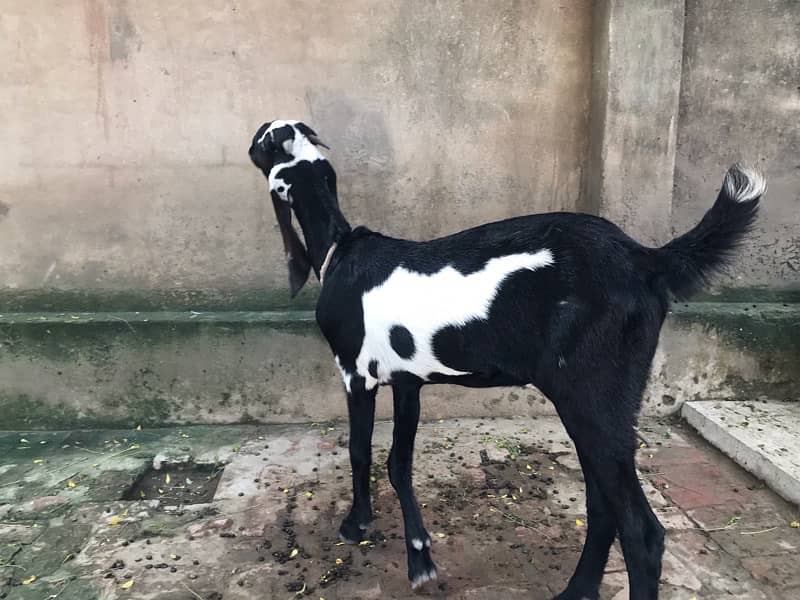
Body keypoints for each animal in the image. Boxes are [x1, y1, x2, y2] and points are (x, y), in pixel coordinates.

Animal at [248, 119, 764, 596]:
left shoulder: (356, 372)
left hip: (593, 396)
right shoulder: (410, 381)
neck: (339, 251)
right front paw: (420, 554)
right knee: (601, 507)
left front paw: (357, 525)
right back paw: (574, 591)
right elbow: (399, 461)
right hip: (593, 405)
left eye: (261, 138)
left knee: (641, 532)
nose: (249, 146)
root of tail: (644, 259)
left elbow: (359, 451)